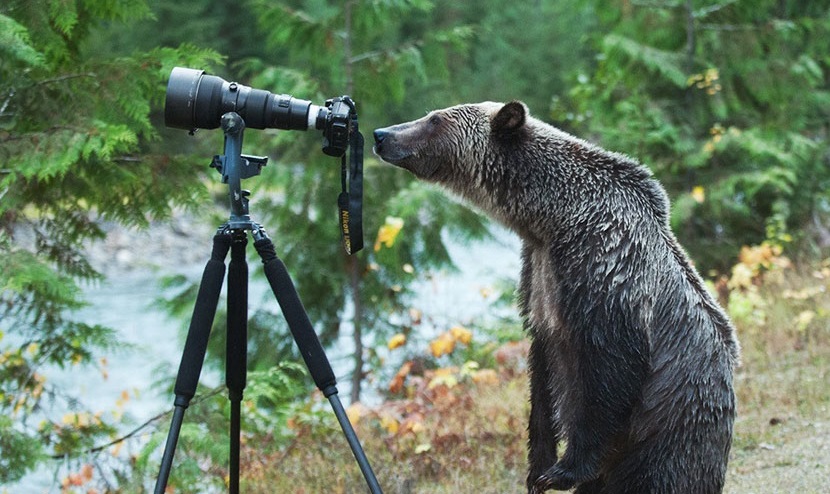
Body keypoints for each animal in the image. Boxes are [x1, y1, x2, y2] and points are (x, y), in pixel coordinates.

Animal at [374, 101, 744, 494]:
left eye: (435, 119)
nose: (381, 135)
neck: (551, 219)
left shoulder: (605, 267)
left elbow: (610, 368)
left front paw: (564, 470)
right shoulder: (538, 277)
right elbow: (542, 377)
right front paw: (538, 467)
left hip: (671, 429)